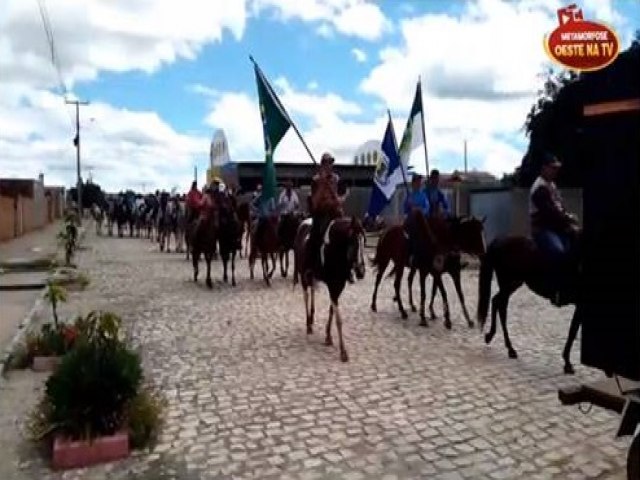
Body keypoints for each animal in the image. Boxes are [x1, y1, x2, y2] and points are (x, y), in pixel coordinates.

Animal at [294, 216, 364, 362]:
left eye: (364, 242)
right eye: (354, 242)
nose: (361, 272)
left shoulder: (338, 286)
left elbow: (331, 311)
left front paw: (328, 336)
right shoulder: (332, 286)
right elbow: (338, 319)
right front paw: (343, 351)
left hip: (312, 277)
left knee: (312, 291)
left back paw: (312, 318)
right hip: (303, 275)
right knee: (306, 295)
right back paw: (308, 324)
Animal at [478, 233, 584, 376]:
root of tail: (498, 241)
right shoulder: (581, 306)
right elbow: (572, 332)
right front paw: (567, 364)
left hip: (514, 283)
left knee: (496, 301)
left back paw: (493, 338)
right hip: (507, 282)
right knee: (501, 307)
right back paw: (509, 348)